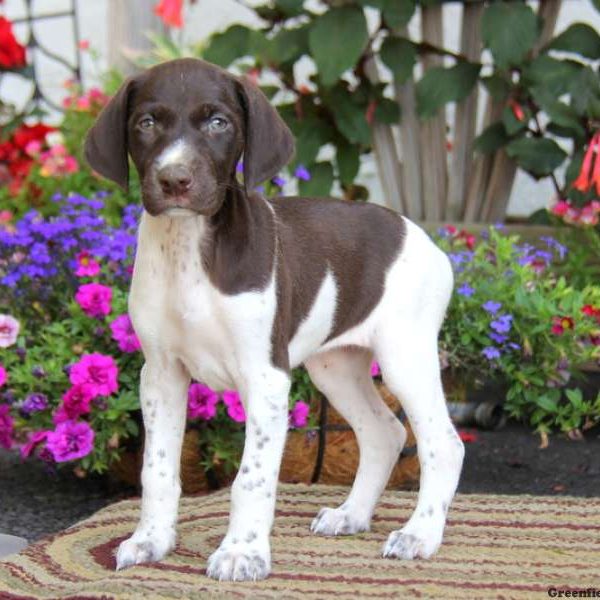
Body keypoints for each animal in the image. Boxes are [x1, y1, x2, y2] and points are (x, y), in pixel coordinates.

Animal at [83, 56, 464, 580]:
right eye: (146, 123)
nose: (175, 180)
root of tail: (424, 238)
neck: (189, 250)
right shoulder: (161, 374)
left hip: (404, 356)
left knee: (443, 443)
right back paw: (351, 515)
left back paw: (420, 535)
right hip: (335, 366)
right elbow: (157, 469)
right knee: (384, 432)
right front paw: (150, 541)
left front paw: (242, 552)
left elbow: (252, 477)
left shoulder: (265, 378)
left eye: (218, 122)